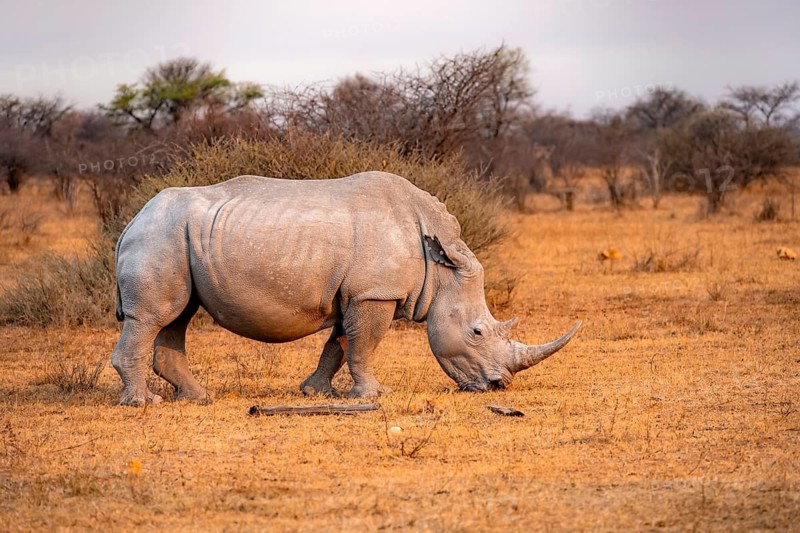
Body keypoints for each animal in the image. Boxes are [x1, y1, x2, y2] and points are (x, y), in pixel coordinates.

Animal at [112, 172, 581, 406]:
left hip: (179, 237)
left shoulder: (357, 292)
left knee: (178, 316)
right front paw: (374, 395)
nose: (500, 386)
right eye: (477, 332)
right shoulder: (375, 292)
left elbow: (339, 344)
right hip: (160, 236)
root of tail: (131, 220)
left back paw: (198, 398)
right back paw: (144, 403)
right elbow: (364, 345)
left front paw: (317, 392)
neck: (440, 267)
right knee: (153, 316)